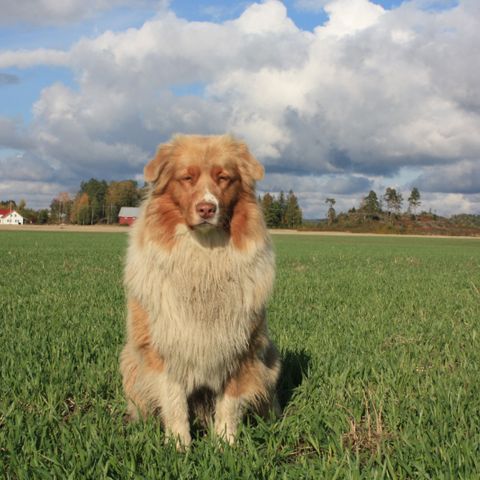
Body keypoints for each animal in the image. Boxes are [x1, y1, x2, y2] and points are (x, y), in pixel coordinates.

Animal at [119, 132, 282, 446]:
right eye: (187, 177)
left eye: (224, 178)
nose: (207, 208)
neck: (204, 256)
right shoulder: (165, 348)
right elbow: (174, 403)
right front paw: (179, 446)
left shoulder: (240, 348)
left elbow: (229, 403)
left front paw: (225, 445)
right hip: (131, 362)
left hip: (268, 363)